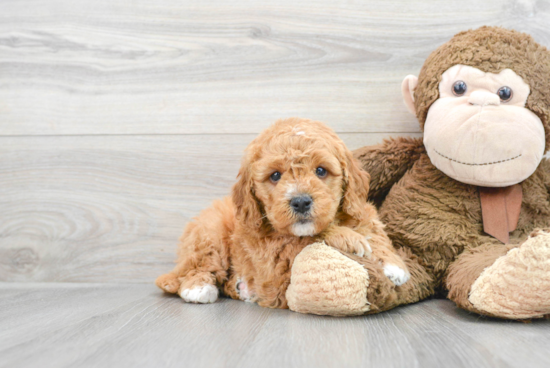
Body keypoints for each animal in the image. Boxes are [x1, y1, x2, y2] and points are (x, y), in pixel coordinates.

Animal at [155, 118, 410, 308]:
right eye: (275, 175)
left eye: (321, 171)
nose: (300, 202)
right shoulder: (274, 258)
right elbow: (309, 239)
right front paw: (348, 239)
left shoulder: (361, 211)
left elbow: (373, 231)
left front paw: (394, 264)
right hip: (210, 233)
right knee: (197, 266)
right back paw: (199, 287)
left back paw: (240, 287)